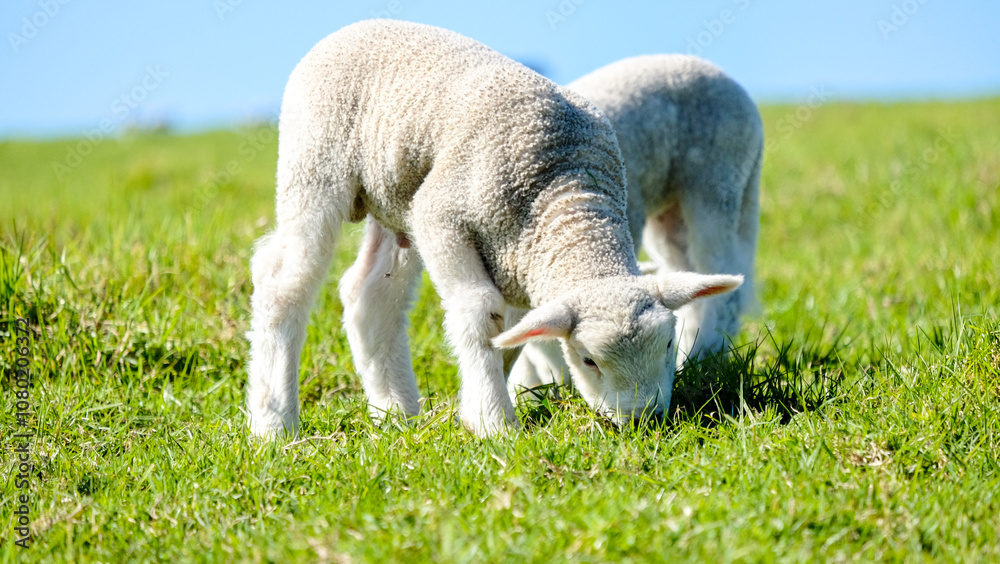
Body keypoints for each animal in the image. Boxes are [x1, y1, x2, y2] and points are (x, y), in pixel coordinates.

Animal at [509, 55, 763, 396]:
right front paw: (528, 388)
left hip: (717, 176)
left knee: (724, 283)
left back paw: (705, 359)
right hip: (673, 212)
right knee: (690, 280)